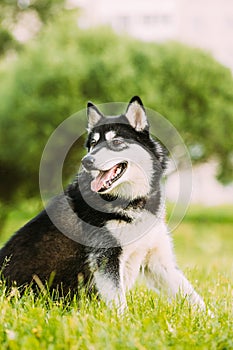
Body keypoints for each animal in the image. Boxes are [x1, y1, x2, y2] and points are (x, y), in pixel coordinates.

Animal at [0, 96, 205, 312]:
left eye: (116, 142)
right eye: (93, 144)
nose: (86, 161)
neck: (131, 202)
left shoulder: (159, 261)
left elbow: (194, 298)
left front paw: (211, 318)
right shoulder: (106, 259)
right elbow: (119, 302)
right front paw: (123, 320)